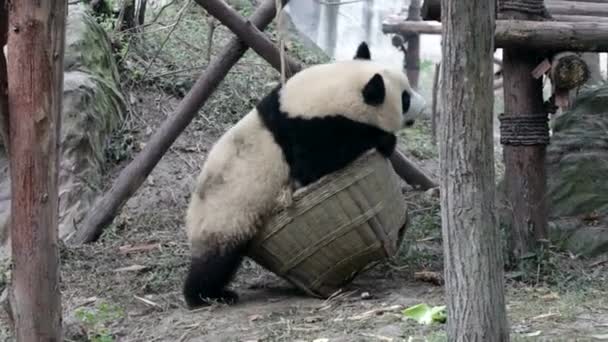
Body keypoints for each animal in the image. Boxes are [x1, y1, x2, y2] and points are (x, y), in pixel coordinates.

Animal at [183, 41, 426, 308]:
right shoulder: (307, 133)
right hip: (224, 216)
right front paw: (384, 140)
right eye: (404, 98)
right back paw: (205, 296)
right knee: (217, 261)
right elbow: (314, 166)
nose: (423, 104)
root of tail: (190, 221)